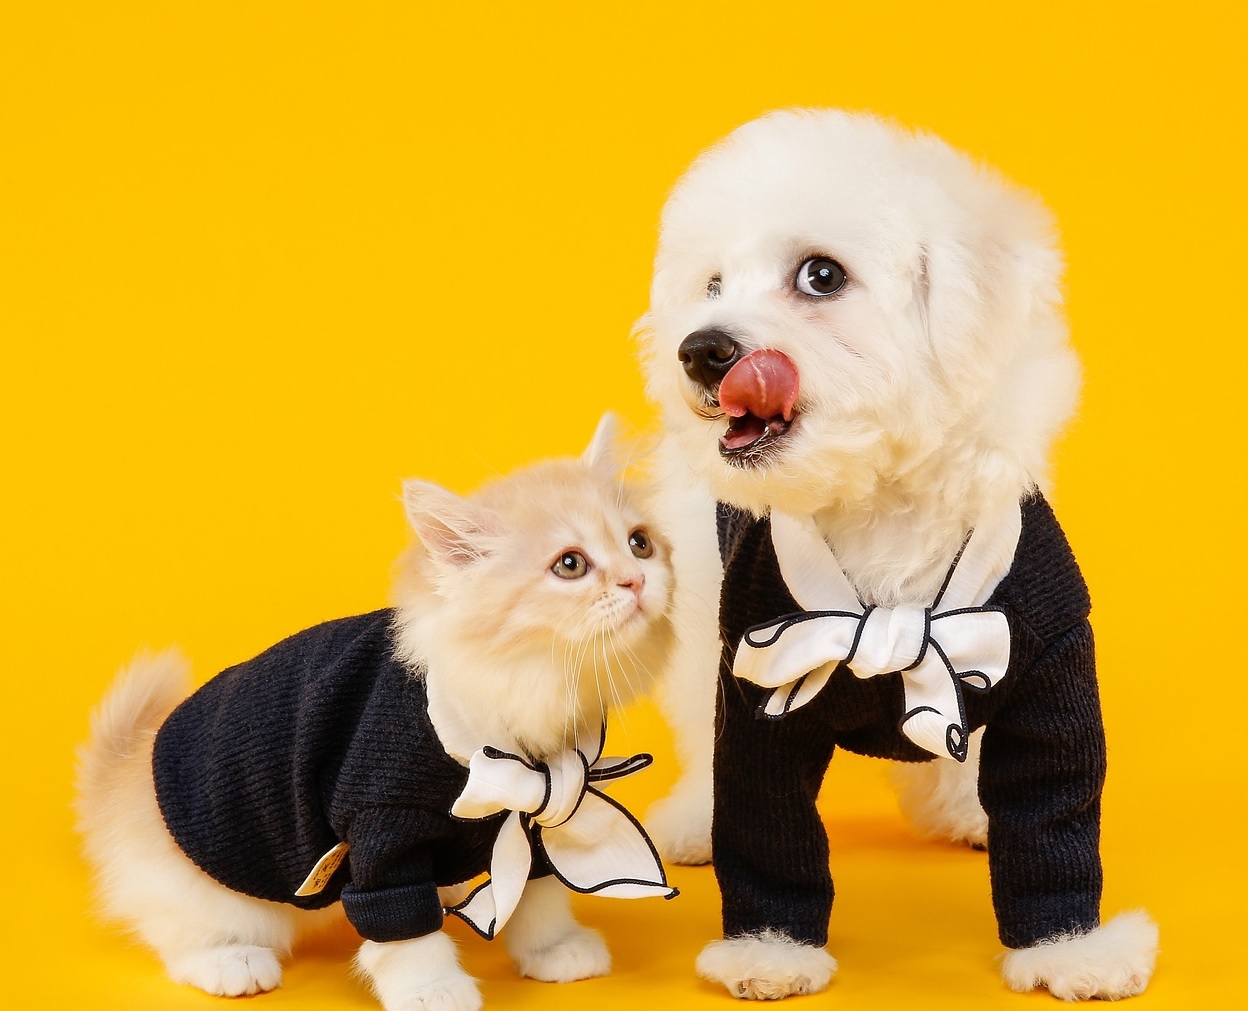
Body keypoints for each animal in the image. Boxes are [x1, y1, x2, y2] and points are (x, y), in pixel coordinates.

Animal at [75, 414, 676, 1011]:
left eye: (640, 544)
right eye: (570, 565)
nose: (637, 580)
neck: (514, 689)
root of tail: (124, 774)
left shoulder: (542, 813)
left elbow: (539, 891)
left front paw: (554, 949)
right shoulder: (381, 827)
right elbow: (404, 927)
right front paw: (432, 989)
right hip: (212, 888)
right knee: (180, 932)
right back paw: (229, 961)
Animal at [637, 109, 1158, 1001]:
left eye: (821, 275)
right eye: (712, 285)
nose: (700, 349)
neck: (881, 503)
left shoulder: (1044, 659)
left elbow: (1051, 812)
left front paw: (1069, 950)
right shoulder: (757, 668)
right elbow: (764, 821)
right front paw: (770, 951)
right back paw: (695, 819)